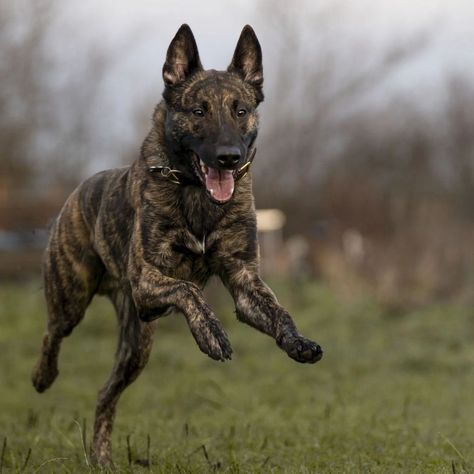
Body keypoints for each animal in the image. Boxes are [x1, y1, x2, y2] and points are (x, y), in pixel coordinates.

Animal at [31, 24, 324, 464]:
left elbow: (278, 311)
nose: (228, 157)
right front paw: (211, 334)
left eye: (240, 110)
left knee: (105, 393)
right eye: (198, 111)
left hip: (137, 345)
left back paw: (102, 456)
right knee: (54, 333)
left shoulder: (244, 281)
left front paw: (297, 341)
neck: (196, 194)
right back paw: (43, 376)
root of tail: (77, 192)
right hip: (72, 296)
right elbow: (188, 289)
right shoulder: (147, 278)